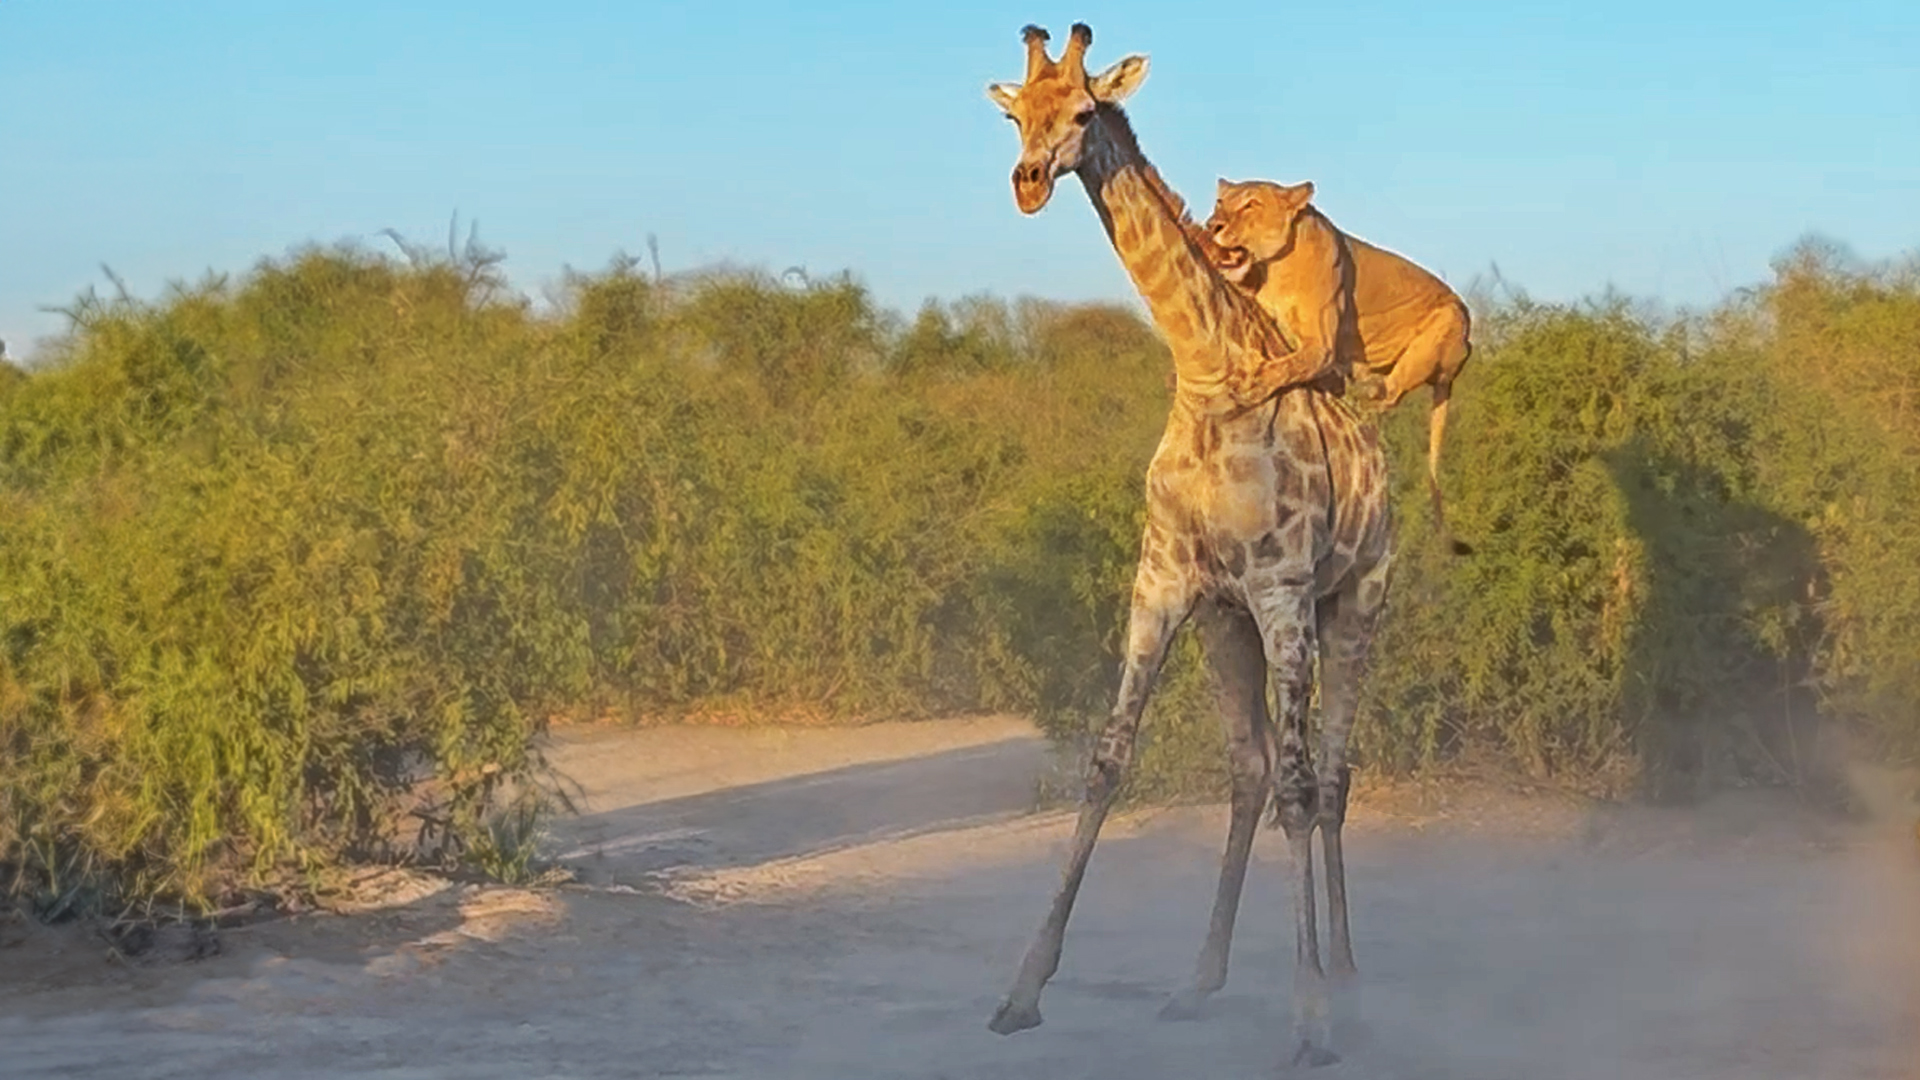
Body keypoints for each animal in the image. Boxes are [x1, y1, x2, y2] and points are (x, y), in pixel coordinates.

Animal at [983, 21, 1390, 1060]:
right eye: (1015, 114)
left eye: (1084, 111)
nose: (1029, 181)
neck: (1209, 376)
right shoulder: (1166, 583)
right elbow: (1108, 763)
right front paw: (1021, 988)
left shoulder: (1285, 590)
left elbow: (1299, 789)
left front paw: (1309, 1016)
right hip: (1226, 626)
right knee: (1250, 774)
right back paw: (1200, 981)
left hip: (1356, 604)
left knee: (1328, 778)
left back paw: (1347, 978)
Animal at [1198, 179, 1466, 549]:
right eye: (1220, 202)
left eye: (1251, 204)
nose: (1213, 225)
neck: (1277, 268)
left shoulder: (1322, 346)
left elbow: (1286, 367)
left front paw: (1253, 384)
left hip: (1450, 319)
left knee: (1389, 395)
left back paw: (1358, 394)